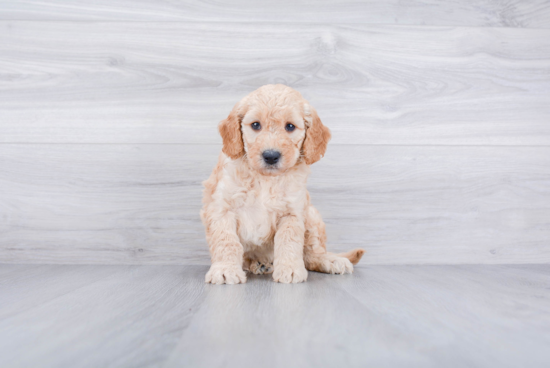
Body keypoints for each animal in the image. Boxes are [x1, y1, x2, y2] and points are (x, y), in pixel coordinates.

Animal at [201, 85, 364, 284]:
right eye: (255, 125)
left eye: (290, 126)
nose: (271, 156)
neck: (265, 179)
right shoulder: (222, 208)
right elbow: (227, 241)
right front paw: (225, 269)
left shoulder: (291, 212)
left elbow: (289, 241)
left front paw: (290, 269)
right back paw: (258, 264)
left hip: (311, 215)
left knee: (311, 254)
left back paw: (330, 260)